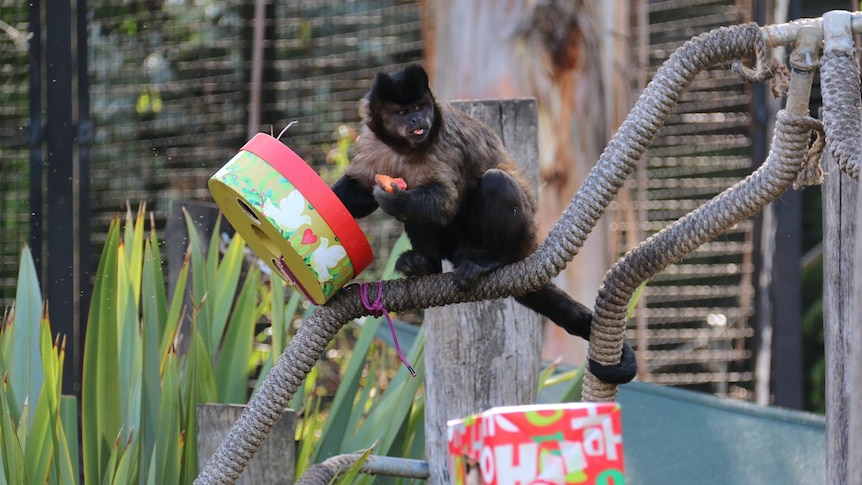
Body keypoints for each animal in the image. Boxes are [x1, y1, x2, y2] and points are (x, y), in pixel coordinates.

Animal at [334, 64, 636, 384]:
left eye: (419, 107)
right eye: (403, 112)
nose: (417, 120)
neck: (402, 148)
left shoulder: (443, 140)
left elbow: (445, 202)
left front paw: (396, 200)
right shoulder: (372, 142)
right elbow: (359, 192)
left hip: (518, 236)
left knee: (495, 182)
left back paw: (492, 260)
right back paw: (425, 264)